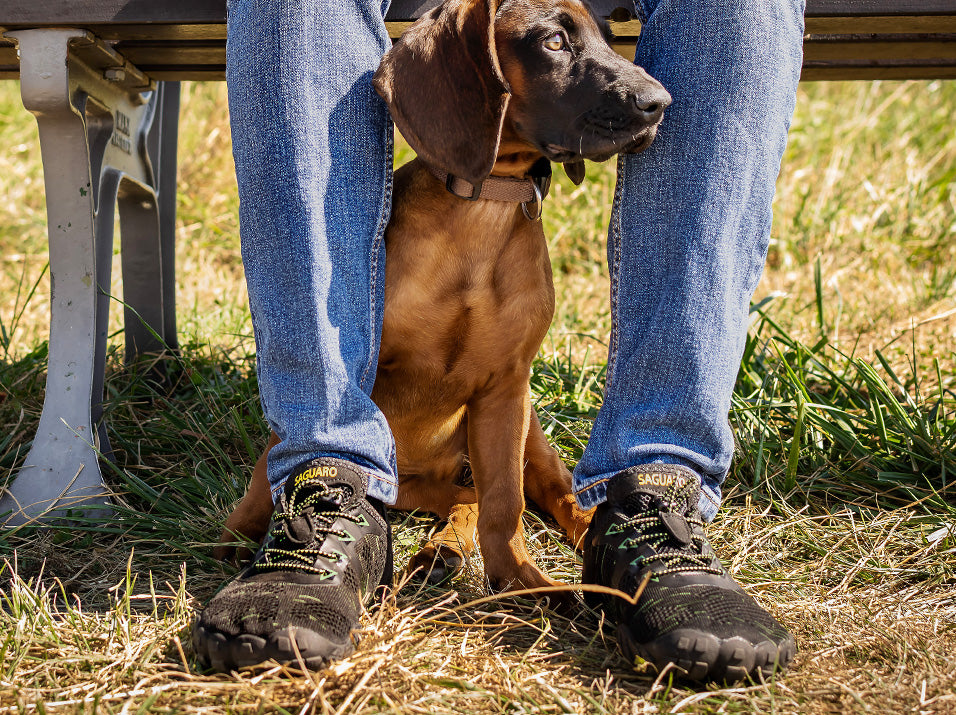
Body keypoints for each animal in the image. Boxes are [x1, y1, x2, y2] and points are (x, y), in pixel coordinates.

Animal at [217, 0, 668, 596]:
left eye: (610, 39)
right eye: (552, 41)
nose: (659, 102)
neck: (483, 206)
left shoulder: (506, 387)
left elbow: (506, 502)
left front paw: (520, 581)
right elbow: (282, 462)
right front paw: (252, 533)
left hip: (525, 430)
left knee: (536, 490)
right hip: (418, 478)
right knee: (457, 497)